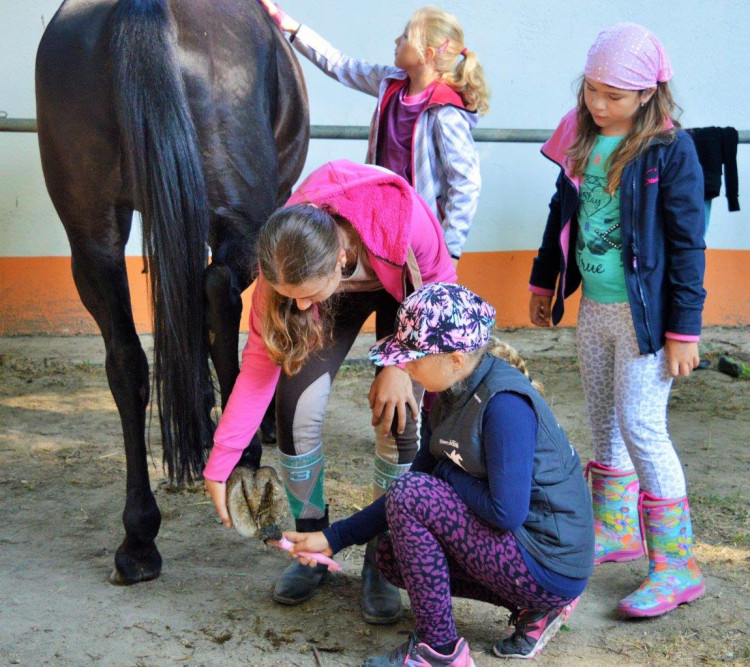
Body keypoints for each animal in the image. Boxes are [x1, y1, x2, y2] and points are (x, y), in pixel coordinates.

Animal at [36, 0, 306, 584]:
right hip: (242, 216)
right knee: (219, 292)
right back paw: (243, 453)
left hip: (92, 237)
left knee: (128, 362)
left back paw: (139, 538)